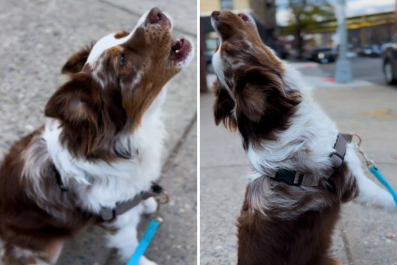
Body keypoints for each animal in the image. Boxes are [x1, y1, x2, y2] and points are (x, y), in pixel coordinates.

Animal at [0, 7, 193, 262]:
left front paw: (148, 202)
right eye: (121, 61)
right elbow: (130, 245)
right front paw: (143, 260)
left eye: (121, 34)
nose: (155, 12)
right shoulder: (117, 218)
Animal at [212, 10, 394, 264]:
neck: (282, 120)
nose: (214, 13)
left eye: (222, 46)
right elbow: (388, 198)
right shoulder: (353, 182)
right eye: (229, 46)